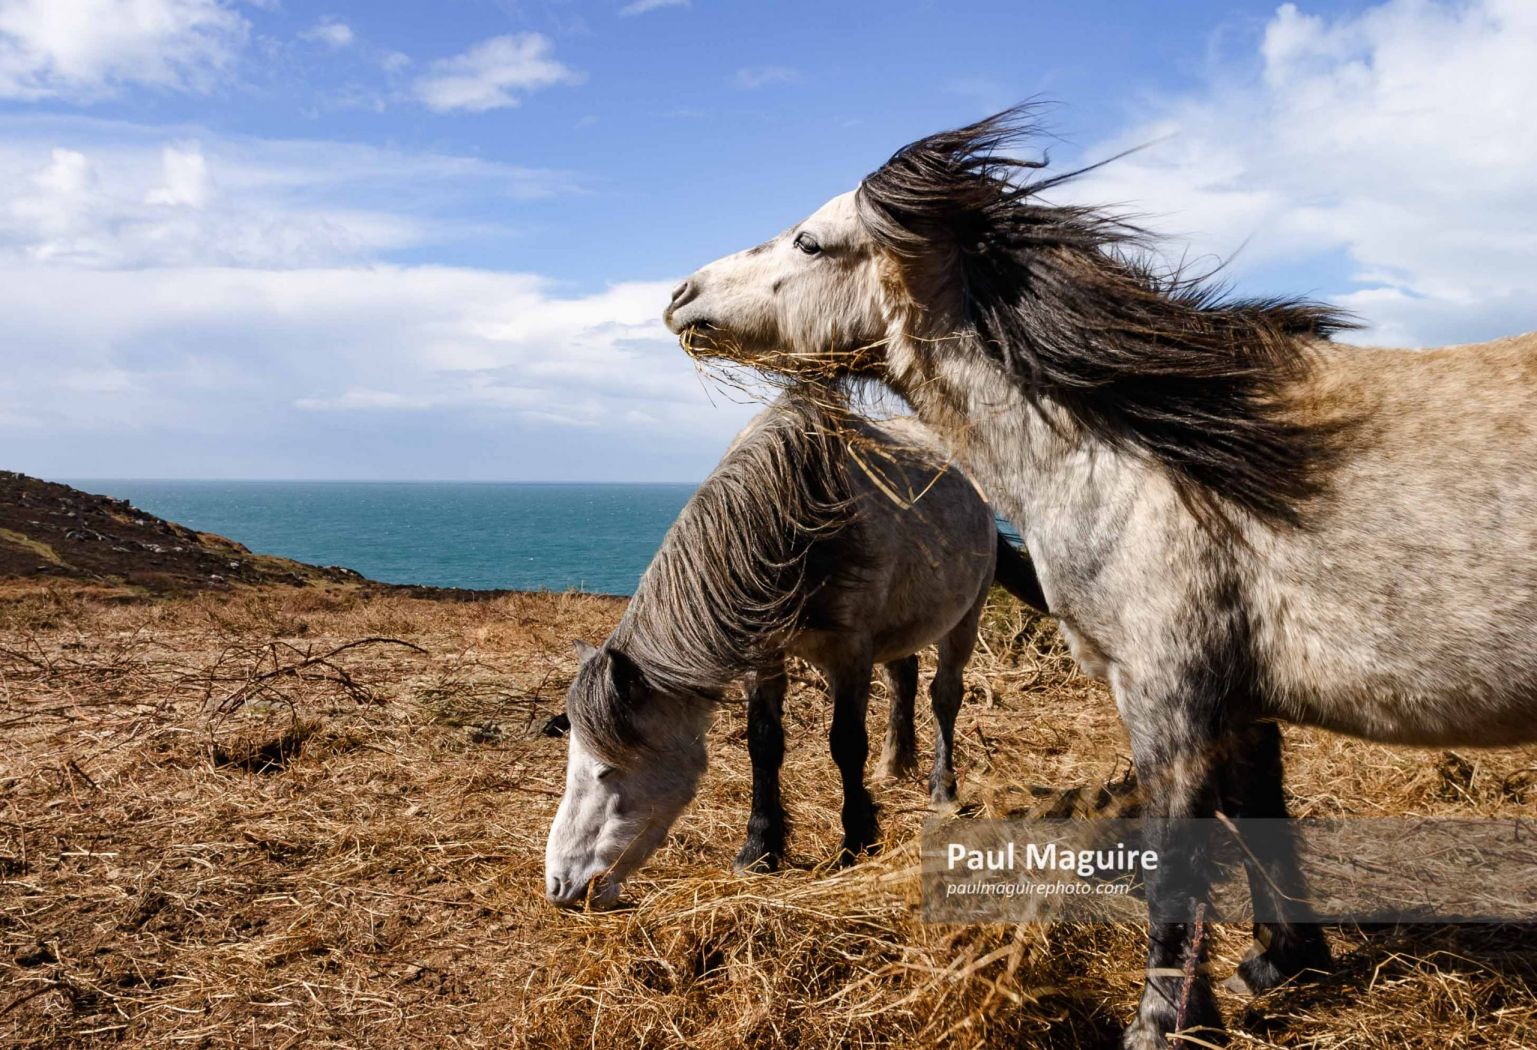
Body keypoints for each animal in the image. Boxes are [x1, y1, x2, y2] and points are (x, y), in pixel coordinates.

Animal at [544, 395, 1046, 908]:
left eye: (607, 771)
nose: (559, 885)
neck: (796, 514)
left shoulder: (850, 653)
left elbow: (847, 743)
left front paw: (857, 841)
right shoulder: (764, 655)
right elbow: (764, 744)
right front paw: (759, 848)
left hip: (965, 616)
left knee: (945, 696)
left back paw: (941, 790)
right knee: (903, 676)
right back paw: (893, 766)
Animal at [661, 106, 1537, 1047]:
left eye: (809, 241)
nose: (681, 296)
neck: (1152, 463)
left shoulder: (1167, 697)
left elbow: (1176, 872)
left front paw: (1162, 1022)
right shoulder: (1238, 703)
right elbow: (1259, 814)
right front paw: (1278, 961)